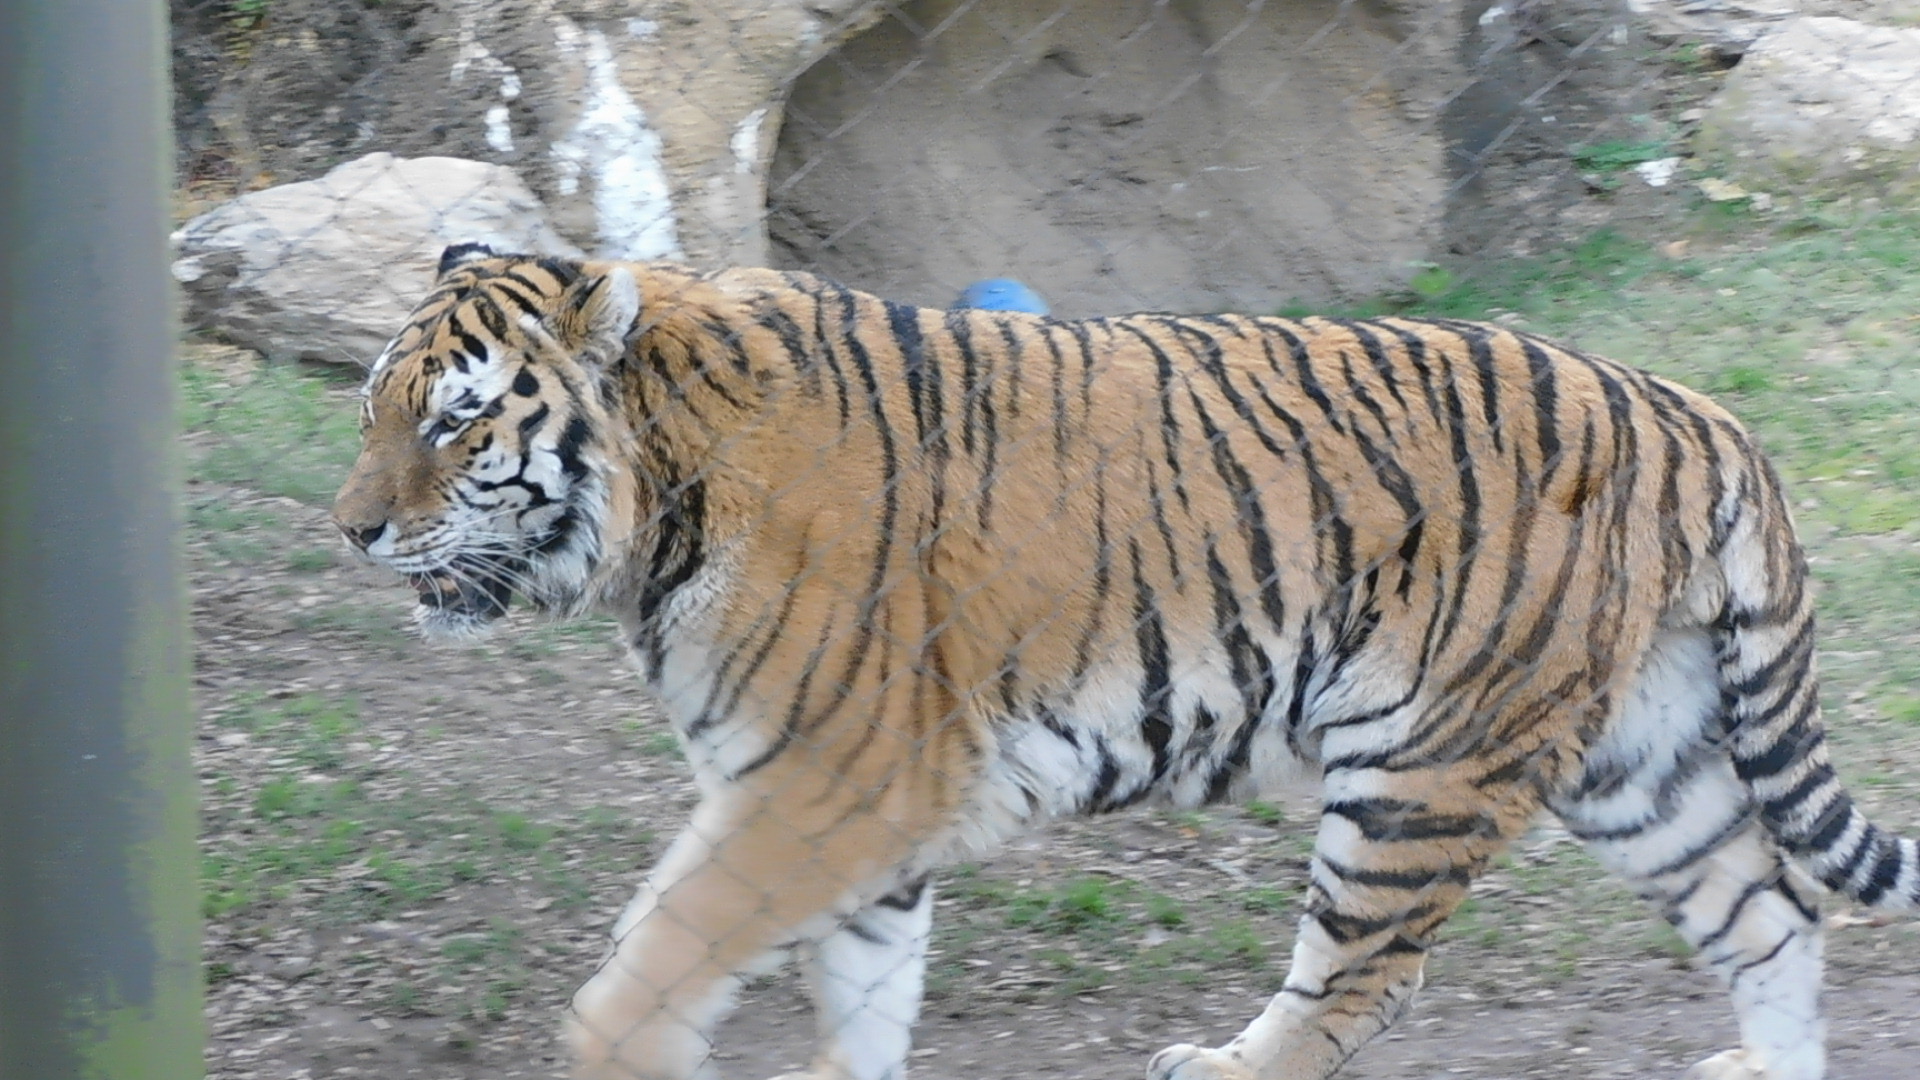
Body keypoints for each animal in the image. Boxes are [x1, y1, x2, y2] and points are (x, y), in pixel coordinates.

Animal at [331, 241, 1920, 1080]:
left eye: (459, 423)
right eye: (372, 410)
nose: (349, 531)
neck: (658, 497)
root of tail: (1696, 412)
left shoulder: (825, 782)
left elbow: (656, 958)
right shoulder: (861, 810)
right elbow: (863, 999)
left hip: (1425, 768)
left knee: (1360, 984)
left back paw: (1223, 1065)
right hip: (1636, 759)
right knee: (1771, 912)